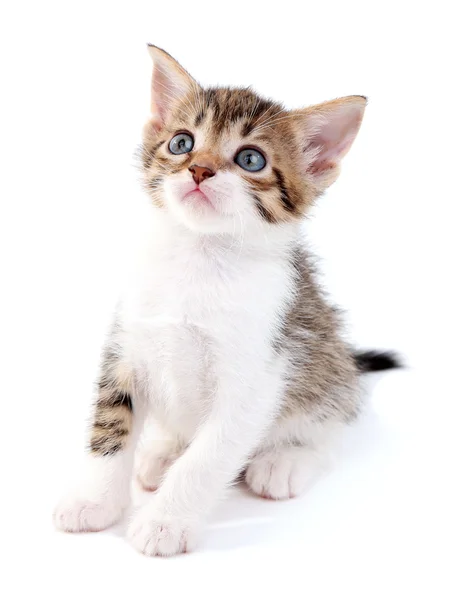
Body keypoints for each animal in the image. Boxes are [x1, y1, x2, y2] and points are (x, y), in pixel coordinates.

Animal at [53, 44, 398, 556]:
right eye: (181, 143)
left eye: (251, 159)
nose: (198, 169)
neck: (198, 258)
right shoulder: (126, 343)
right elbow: (109, 424)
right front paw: (93, 500)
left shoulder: (256, 375)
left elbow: (207, 457)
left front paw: (165, 523)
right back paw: (162, 454)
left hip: (330, 368)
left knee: (333, 423)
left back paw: (286, 461)